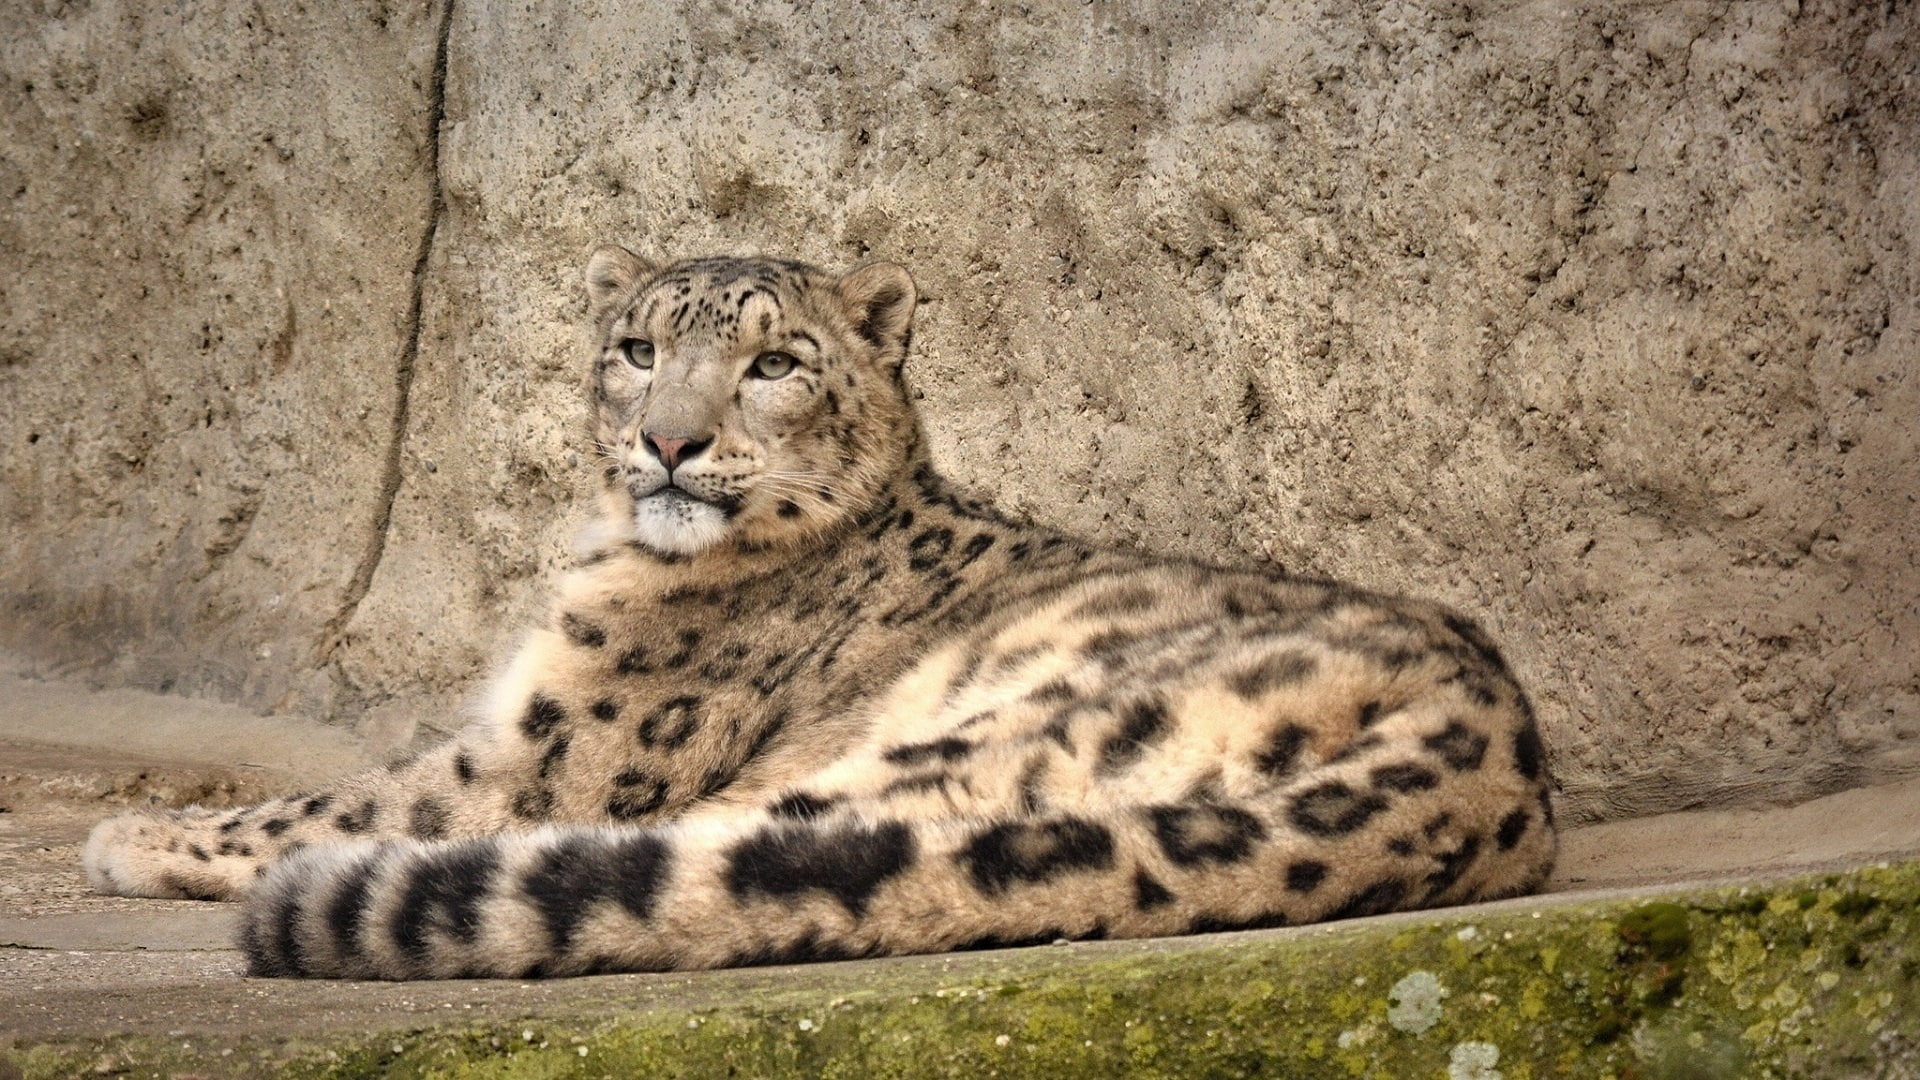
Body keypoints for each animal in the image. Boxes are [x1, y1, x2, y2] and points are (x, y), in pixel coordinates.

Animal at [83, 248, 1557, 979]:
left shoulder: (542, 753)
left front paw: (135, 832)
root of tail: (1490, 752)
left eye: (776, 363)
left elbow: (345, 800)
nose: (670, 442)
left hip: (945, 746)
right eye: (637, 349)